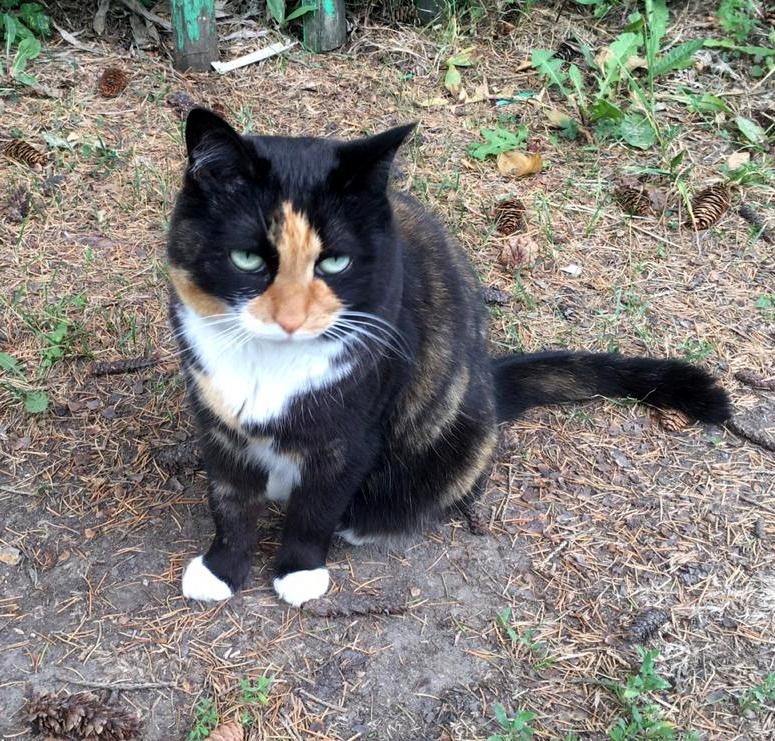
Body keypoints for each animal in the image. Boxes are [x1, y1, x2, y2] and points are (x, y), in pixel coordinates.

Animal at [167, 108, 730, 607]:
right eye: (247, 258)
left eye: (335, 261)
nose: (289, 319)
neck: (268, 368)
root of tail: (488, 379)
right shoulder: (218, 424)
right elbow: (230, 501)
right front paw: (221, 570)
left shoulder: (353, 430)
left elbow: (318, 505)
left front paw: (300, 571)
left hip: (459, 439)